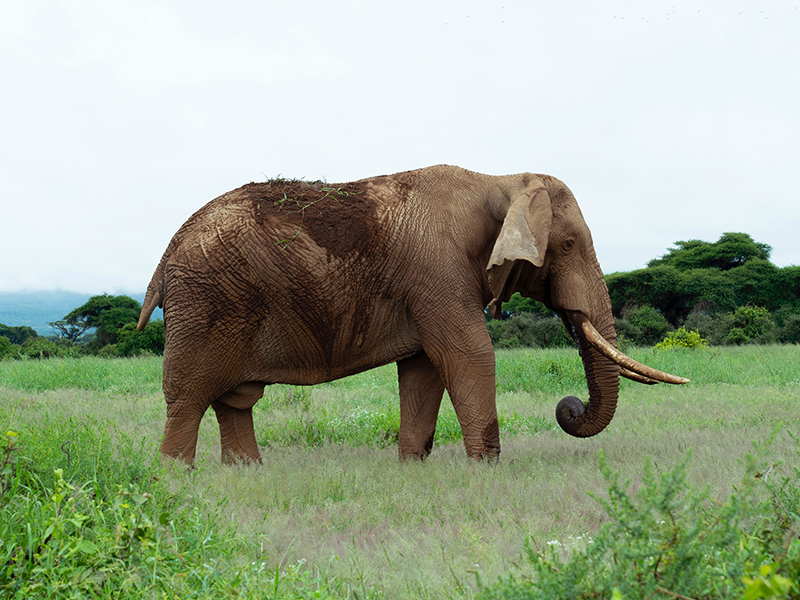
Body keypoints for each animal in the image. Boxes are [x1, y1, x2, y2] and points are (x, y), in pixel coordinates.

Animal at [138, 164, 688, 464]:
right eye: (569, 244)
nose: (568, 408)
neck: (502, 180)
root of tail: (164, 257)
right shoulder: (438, 272)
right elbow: (468, 355)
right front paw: (486, 470)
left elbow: (424, 369)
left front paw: (411, 467)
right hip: (207, 302)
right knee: (187, 399)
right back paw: (176, 482)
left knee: (234, 401)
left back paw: (247, 473)